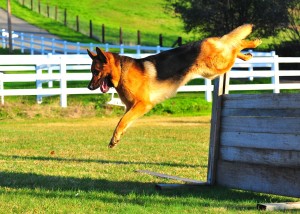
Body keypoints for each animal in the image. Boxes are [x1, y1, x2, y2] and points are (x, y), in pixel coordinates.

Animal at [86, 23, 260, 147]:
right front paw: (116, 137)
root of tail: (207, 40)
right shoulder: (132, 107)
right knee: (232, 46)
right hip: (215, 69)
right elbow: (124, 121)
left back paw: (254, 42)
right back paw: (247, 55)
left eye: (96, 72)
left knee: (235, 45)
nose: (89, 87)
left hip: (217, 65)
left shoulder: (143, 104)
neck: (122, 71)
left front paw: (115, 137)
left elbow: (121, 121)